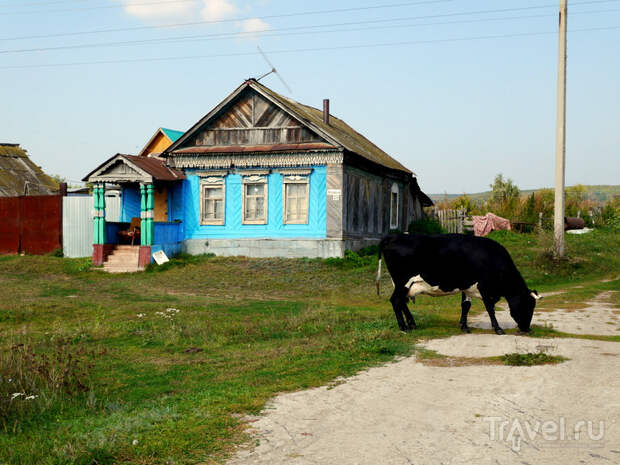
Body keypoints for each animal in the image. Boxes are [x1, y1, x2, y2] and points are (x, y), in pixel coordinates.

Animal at [376, 234, 540, 332]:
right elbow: (490, 308)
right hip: (402, 282)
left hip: (402, 285)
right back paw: (403, 327)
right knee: (396, 301)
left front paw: (464, 326)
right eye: (528, 305)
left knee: (402, 302)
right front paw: (498, 328)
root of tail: (394, 236)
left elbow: (466, 306)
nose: (527, 329)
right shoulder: (484, 288)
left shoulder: (467, 287)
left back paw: (412, 323)